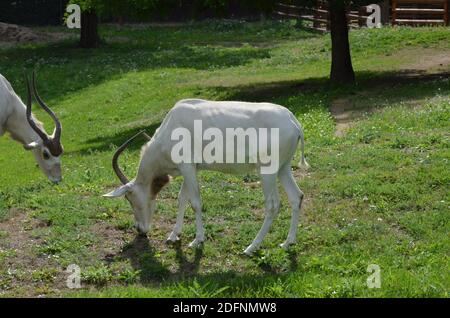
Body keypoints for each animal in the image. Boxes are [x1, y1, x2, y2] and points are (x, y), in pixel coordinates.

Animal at [103, 98, 308, 255]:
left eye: (130, 198)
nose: (140, 231)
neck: (170, 128)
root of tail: (294, 122)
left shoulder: (186, 167)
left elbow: (195, 203)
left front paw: (197, 240)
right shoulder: (191, 169)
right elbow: (182, 199)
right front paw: (173, 236)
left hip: (267, 171)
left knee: (273, 205)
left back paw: (251, 247)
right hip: (283, 168)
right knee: (296, 196)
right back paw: (287, 242)